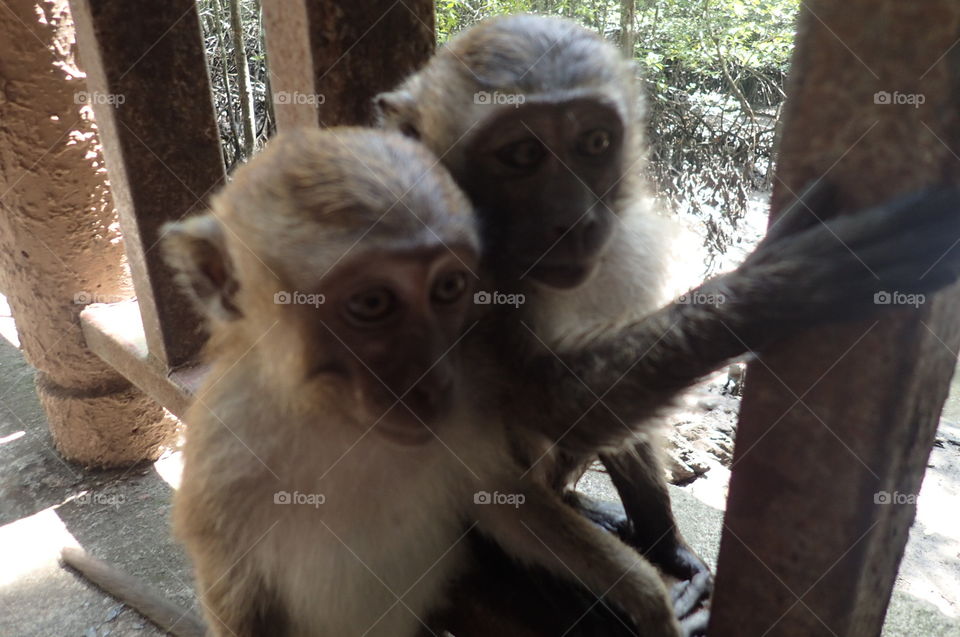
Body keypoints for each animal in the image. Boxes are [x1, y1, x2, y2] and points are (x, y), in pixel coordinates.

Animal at [154, 126, 692, 637]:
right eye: (373, 304)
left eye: (448, 287)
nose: (432, 384)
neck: (340, 425)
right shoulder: (224, 457)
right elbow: (238, 590)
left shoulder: (471, 402)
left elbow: (504, 502)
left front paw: (645, 594)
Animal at [375, 13, 960, 633]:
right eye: (521, 154)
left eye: (595, 143)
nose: (576, 221)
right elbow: (543, 402)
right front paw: (773, 288)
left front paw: (669, 548)